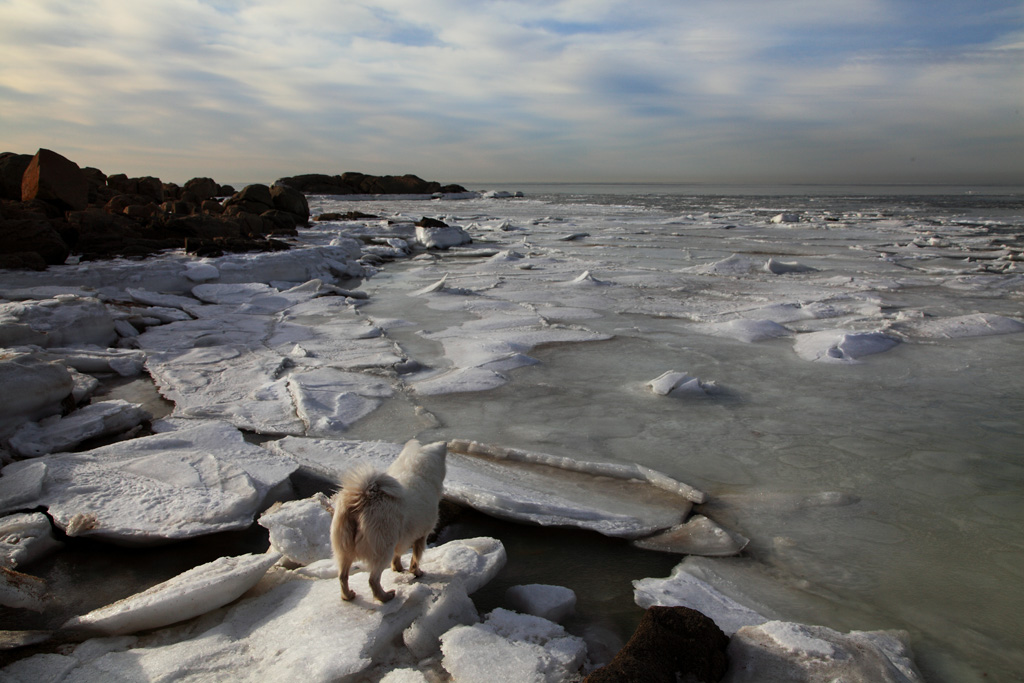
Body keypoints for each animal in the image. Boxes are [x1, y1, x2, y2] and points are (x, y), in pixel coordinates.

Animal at [331, 438, 448, 602]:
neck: (415, 470)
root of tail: (363, 498)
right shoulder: (421, 536)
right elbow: (416, 558)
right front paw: (417, 572)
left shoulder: (402, 537)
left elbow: (397, 556)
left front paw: (398, 568)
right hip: (383, 548)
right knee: (373, 579)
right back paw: (385, 597)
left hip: (344, 549)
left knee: (342, 576)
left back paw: (348, 596)